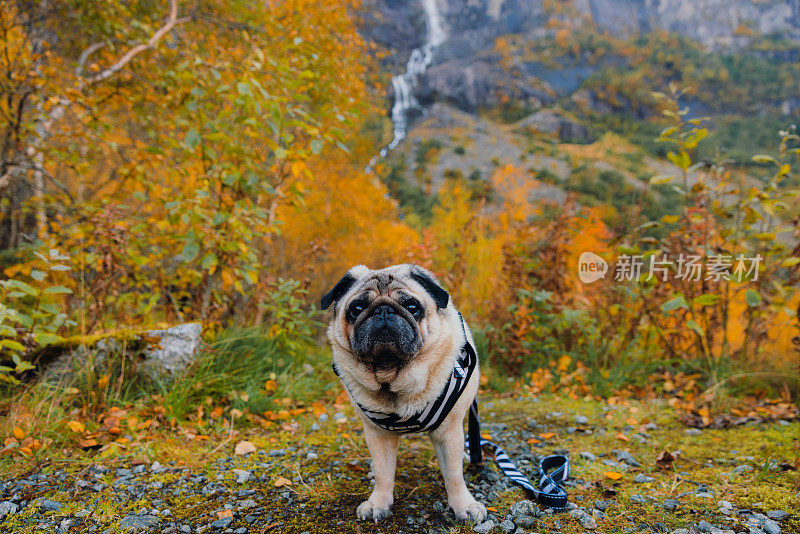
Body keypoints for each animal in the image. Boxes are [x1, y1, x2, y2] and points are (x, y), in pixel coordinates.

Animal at [320, 266, 488, 524]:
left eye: (412, 307)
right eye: (356, 309)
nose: (383, 310)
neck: (392, 377)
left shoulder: (450, 432)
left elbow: (453, 474)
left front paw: (463, 505)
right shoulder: (377, 435)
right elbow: (382, 472)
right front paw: (379, 503)